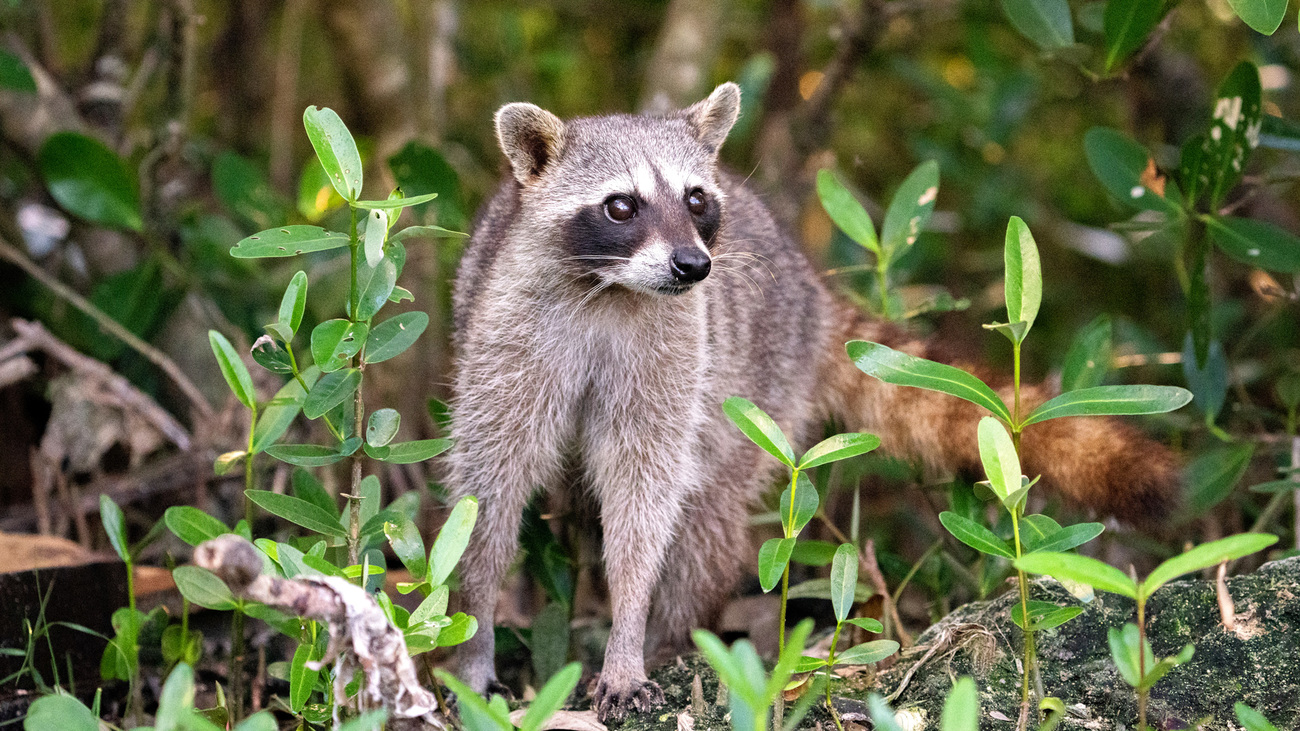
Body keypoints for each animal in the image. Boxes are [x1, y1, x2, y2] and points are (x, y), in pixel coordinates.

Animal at [444, 83, 1180, 717]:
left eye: (695, 198)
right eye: (620, 205)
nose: (693, 265)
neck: (610, 290)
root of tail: (810, 292)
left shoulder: (675, 351)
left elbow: (643, 496)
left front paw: (628, 633)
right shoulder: (508, 335)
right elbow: (488, 489)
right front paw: (476, 633)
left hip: (758, 383)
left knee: (708, 509)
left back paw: (674, 635)